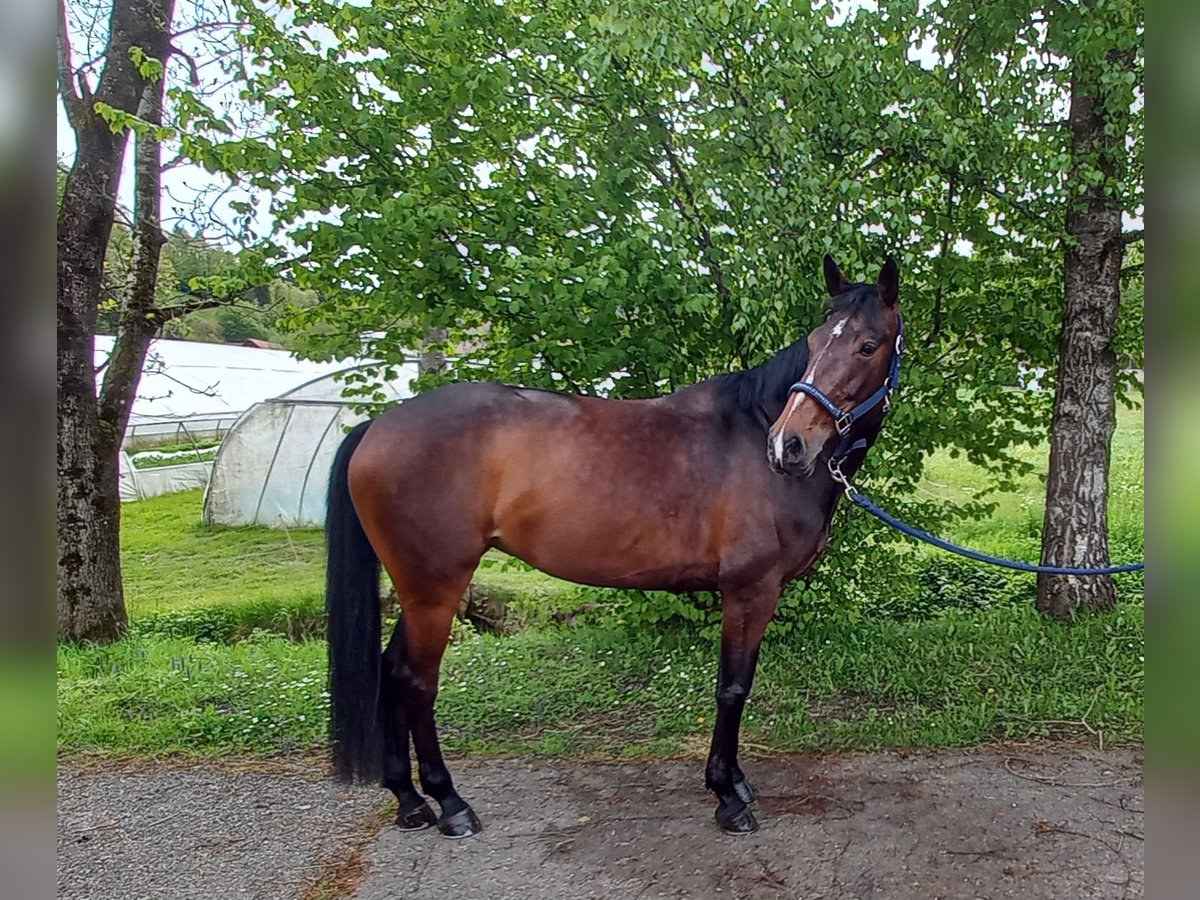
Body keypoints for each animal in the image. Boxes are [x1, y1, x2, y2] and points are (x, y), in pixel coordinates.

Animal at [324, 252, 902, 840]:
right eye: (814, 341)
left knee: (393, 670)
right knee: (417, 682)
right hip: (436, 587)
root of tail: (379, 425)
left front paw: (736, 783)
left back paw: (408, 799)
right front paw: (726, 795)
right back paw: (450, 804)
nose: (789, 444)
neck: (751, 432)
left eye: (867, 345)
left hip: (421, 589)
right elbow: (733, 687)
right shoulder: (749, 590)